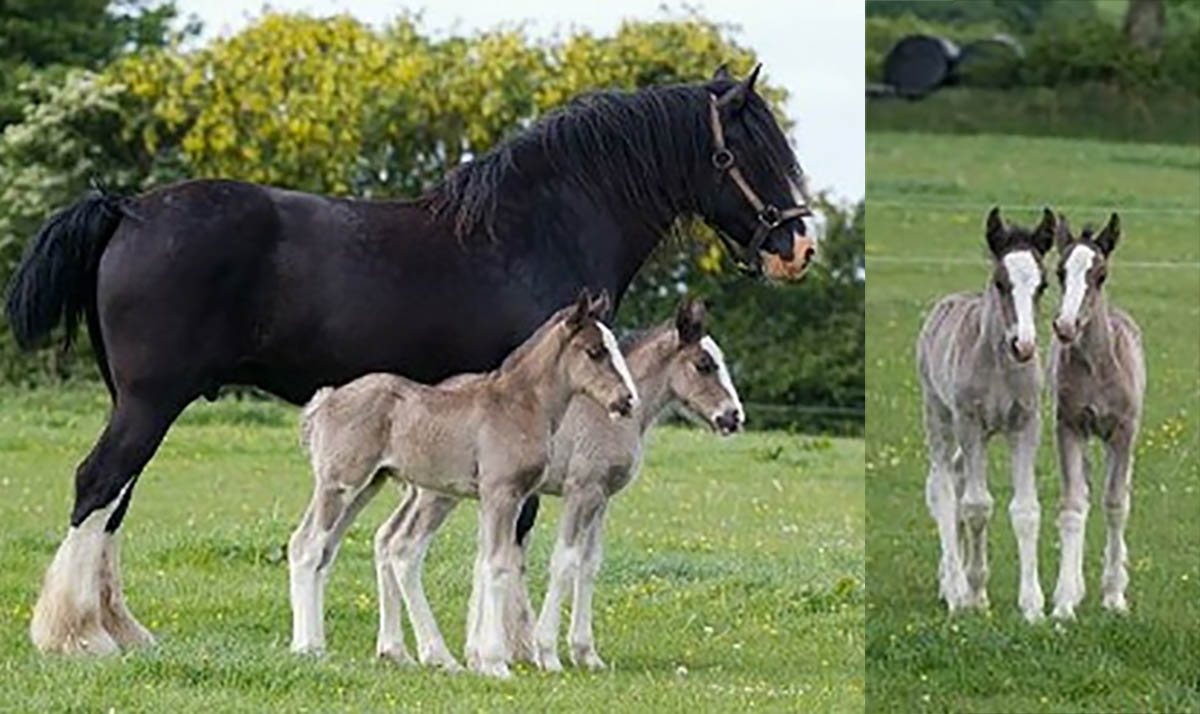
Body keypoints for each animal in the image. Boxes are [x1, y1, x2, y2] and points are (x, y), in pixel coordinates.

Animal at [289, 288, 638, 676]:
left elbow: (486, 564)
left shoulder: (499, 497)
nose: (627, 401)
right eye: (594, 351)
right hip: (340, 484)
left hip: (368, 486)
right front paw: (496, 664)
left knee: (327, 550)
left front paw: (481, 659)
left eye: (615, 347)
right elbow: (498, 566)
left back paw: (329, 646)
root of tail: (325, 401)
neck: (519, 405)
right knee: (307, 545)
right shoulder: (502, 493)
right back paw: (306, 648)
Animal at [376, 298, 739, 672]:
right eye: (704, 365)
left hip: (426, 492)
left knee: (386, 539)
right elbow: (565, 562)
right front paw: (546, 652)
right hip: (437, 494)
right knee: (405, 547)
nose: (734, 416)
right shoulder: (582, 491)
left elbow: (590, 564)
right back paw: (432, 653)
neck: (609, 414)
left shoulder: (602, 498)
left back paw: (394, 649)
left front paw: (586, 653)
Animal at [916, 206, 1051, 619]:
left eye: (1043, 285)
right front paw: (972, 595)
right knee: (944, 487)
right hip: (939, 415)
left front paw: (1033, 604)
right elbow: (976, 507)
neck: (999, 367)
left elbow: (1026, 509)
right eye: (1000, 282)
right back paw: (954, 587)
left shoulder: (1026, 423)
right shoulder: (970, 422)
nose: (1024, 345)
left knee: (957, 476)